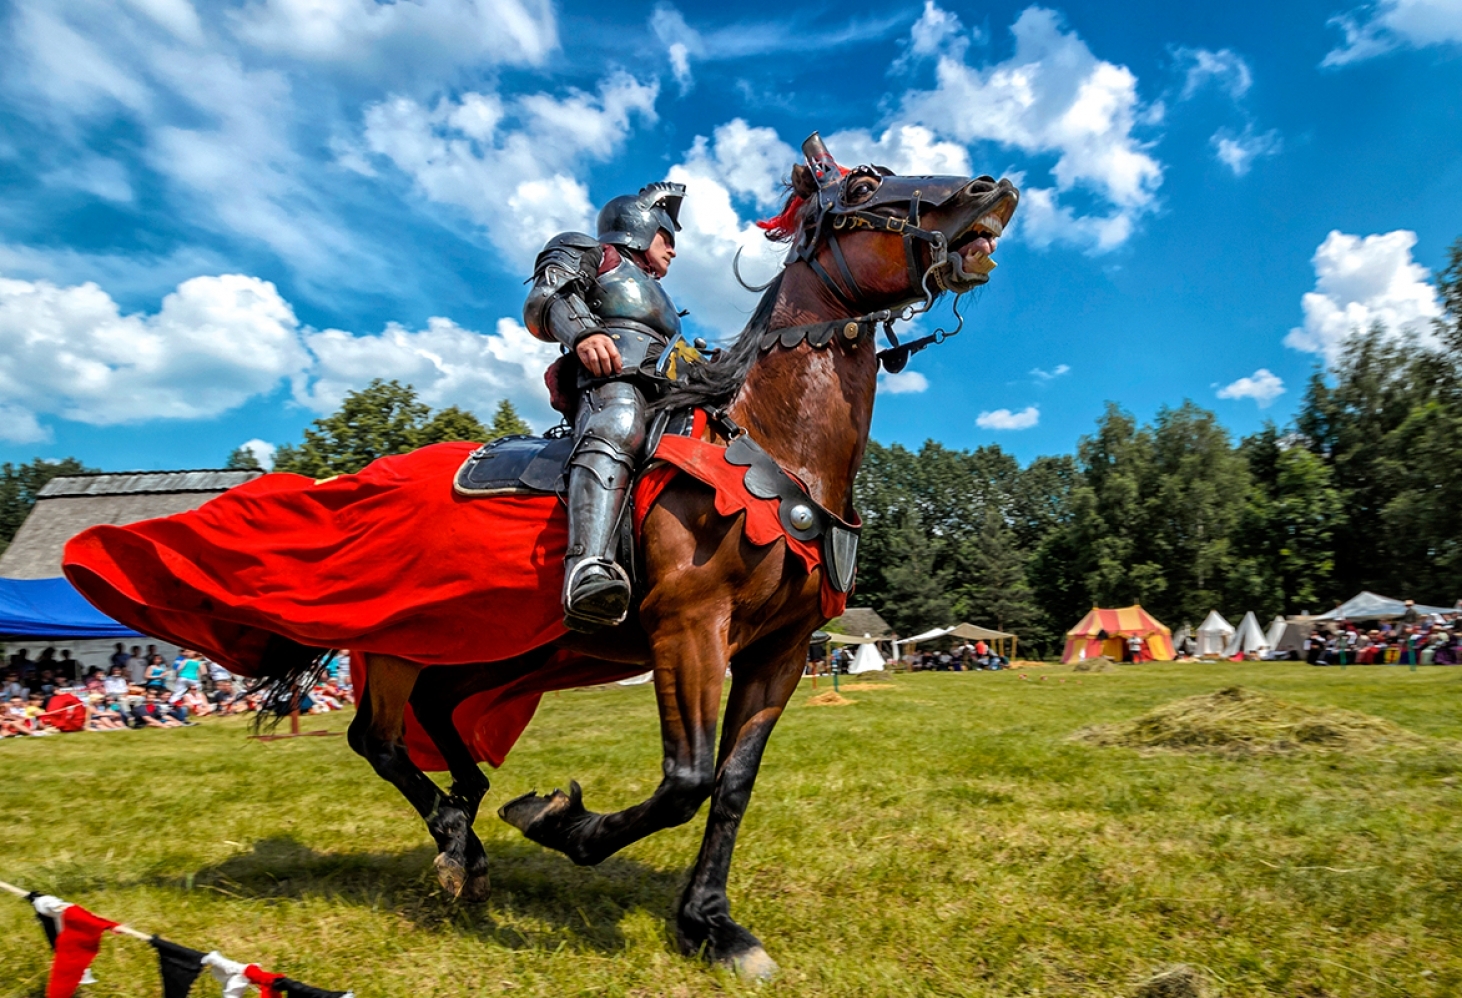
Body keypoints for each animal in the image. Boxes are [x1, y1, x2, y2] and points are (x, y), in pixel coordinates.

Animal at [346, 136, 1023, 981]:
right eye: (867, 183)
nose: (991, 190)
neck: (775, 445)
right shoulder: (690, 630)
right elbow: (686, 782)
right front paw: (562, 824)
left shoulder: (780, 652)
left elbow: (731, 784)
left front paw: (711, 923)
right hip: (397, 642)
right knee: (378, 738)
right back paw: (456, 834)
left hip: (499, 648)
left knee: (437, 712)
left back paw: (461, 826)